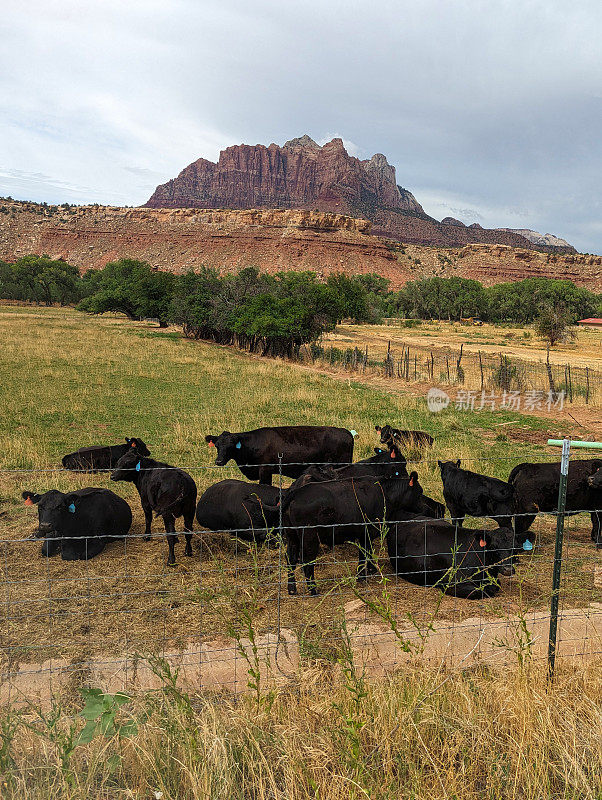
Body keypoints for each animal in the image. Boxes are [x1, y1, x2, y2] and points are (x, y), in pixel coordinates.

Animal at [276, 472, 422, 596]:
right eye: (420, 492)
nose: (424, 507)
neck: (384, 493)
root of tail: (296, 493)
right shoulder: (368, 531)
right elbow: (364, 554)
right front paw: (362, 576)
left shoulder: (364, 534)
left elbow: (366, 553)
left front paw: (369, 571)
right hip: (309, 537)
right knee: (307, 561)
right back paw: (313, 590)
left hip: (292, 536)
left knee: (290, 559)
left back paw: (292, 589)